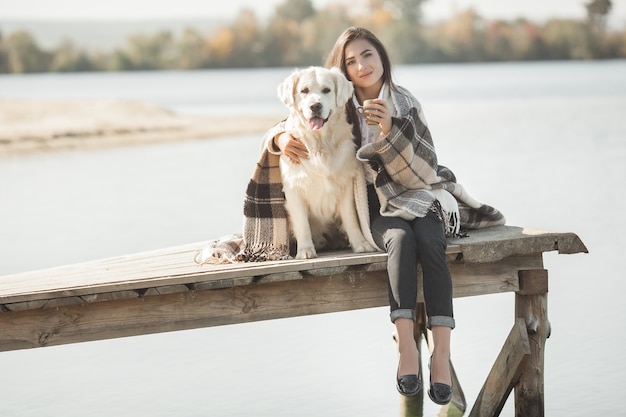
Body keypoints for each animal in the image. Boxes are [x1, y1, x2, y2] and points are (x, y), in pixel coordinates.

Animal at [274, 66, 372, 258]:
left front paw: (360, 243)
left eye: (326, 90)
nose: (315, 106)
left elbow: (351, 218)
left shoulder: (345, 184)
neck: (320, 143)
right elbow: (302, 223)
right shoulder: (294, 188)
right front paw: (305, 250)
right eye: (304, 91)